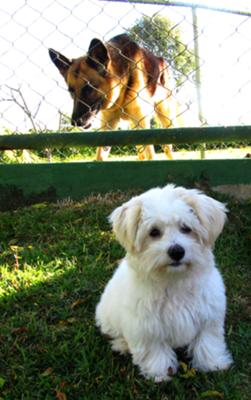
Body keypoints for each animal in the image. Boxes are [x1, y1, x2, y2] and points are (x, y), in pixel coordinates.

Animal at [95, 184, 232, 382]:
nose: (176, 251)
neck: (173, 280)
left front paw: (213, 364)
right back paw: (122, 344)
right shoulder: (146, 327)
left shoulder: (209, 315)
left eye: (186, 228)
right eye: (154, 232)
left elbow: (208, 340)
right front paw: (160, 373)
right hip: (107, 316)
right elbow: (154, 350)